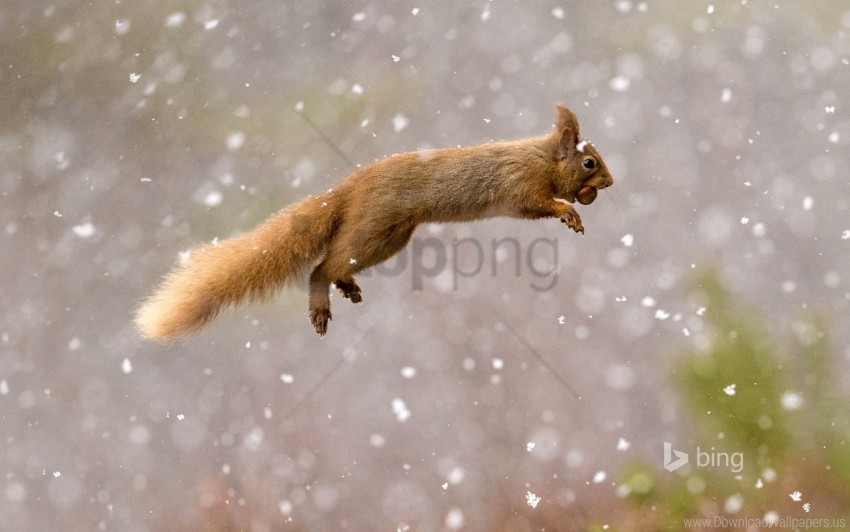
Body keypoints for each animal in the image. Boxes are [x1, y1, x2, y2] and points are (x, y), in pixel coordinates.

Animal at [134, 102, 608, 338]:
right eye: (589, 163)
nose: (610, 181)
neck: (542, 157)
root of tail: (347, 190)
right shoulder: (520, 185)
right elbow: (537, 204)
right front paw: (568, 213)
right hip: (373, 227)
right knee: (320, 266)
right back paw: (321, 300)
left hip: (388, 238)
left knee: (336, 261)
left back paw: (345, 285)